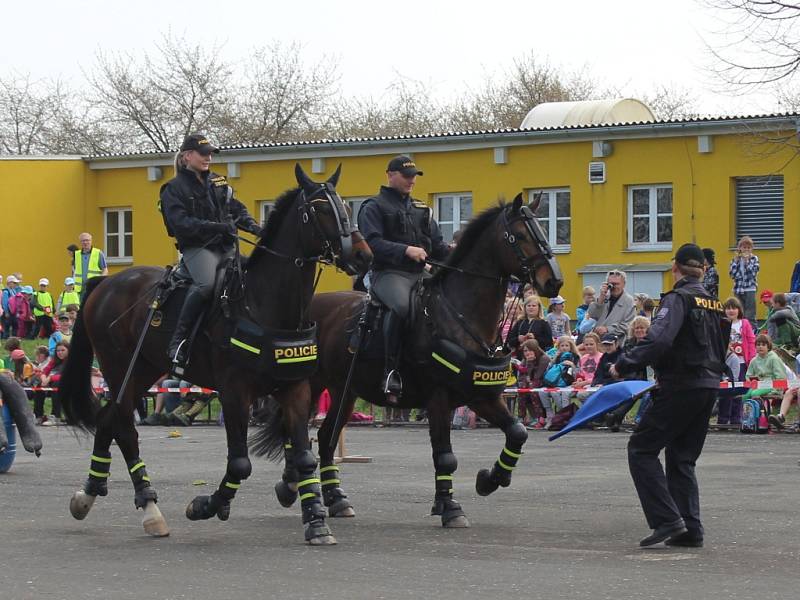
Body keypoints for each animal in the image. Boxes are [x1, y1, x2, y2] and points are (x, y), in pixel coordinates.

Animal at [58, 164, 372, 544]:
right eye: (320, 209)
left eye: (344, 206)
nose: (362, 255)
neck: (262, 303)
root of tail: (105, 283)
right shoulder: (235, 392)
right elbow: (240, 463)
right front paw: (206, 505)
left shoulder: (295, 388)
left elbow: (304, 456)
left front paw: (315, 522)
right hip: (120, 369)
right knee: (124, 427)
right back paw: (149, 508)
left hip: (143, 370)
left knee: (109, 420)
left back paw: (88, 495)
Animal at [255, 192, 564, 528]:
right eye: (519, 236)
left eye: (543, 229)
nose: (554, 282)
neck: (458, 314)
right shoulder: (438, 398)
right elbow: (445, 455)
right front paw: (450, 507)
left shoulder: (480, 396)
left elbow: (517, 433)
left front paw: (489, 479)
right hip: (310, 386)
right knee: (297, 432)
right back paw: (291, 485)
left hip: (344, 392)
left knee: (325, 439)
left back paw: (336, 499)